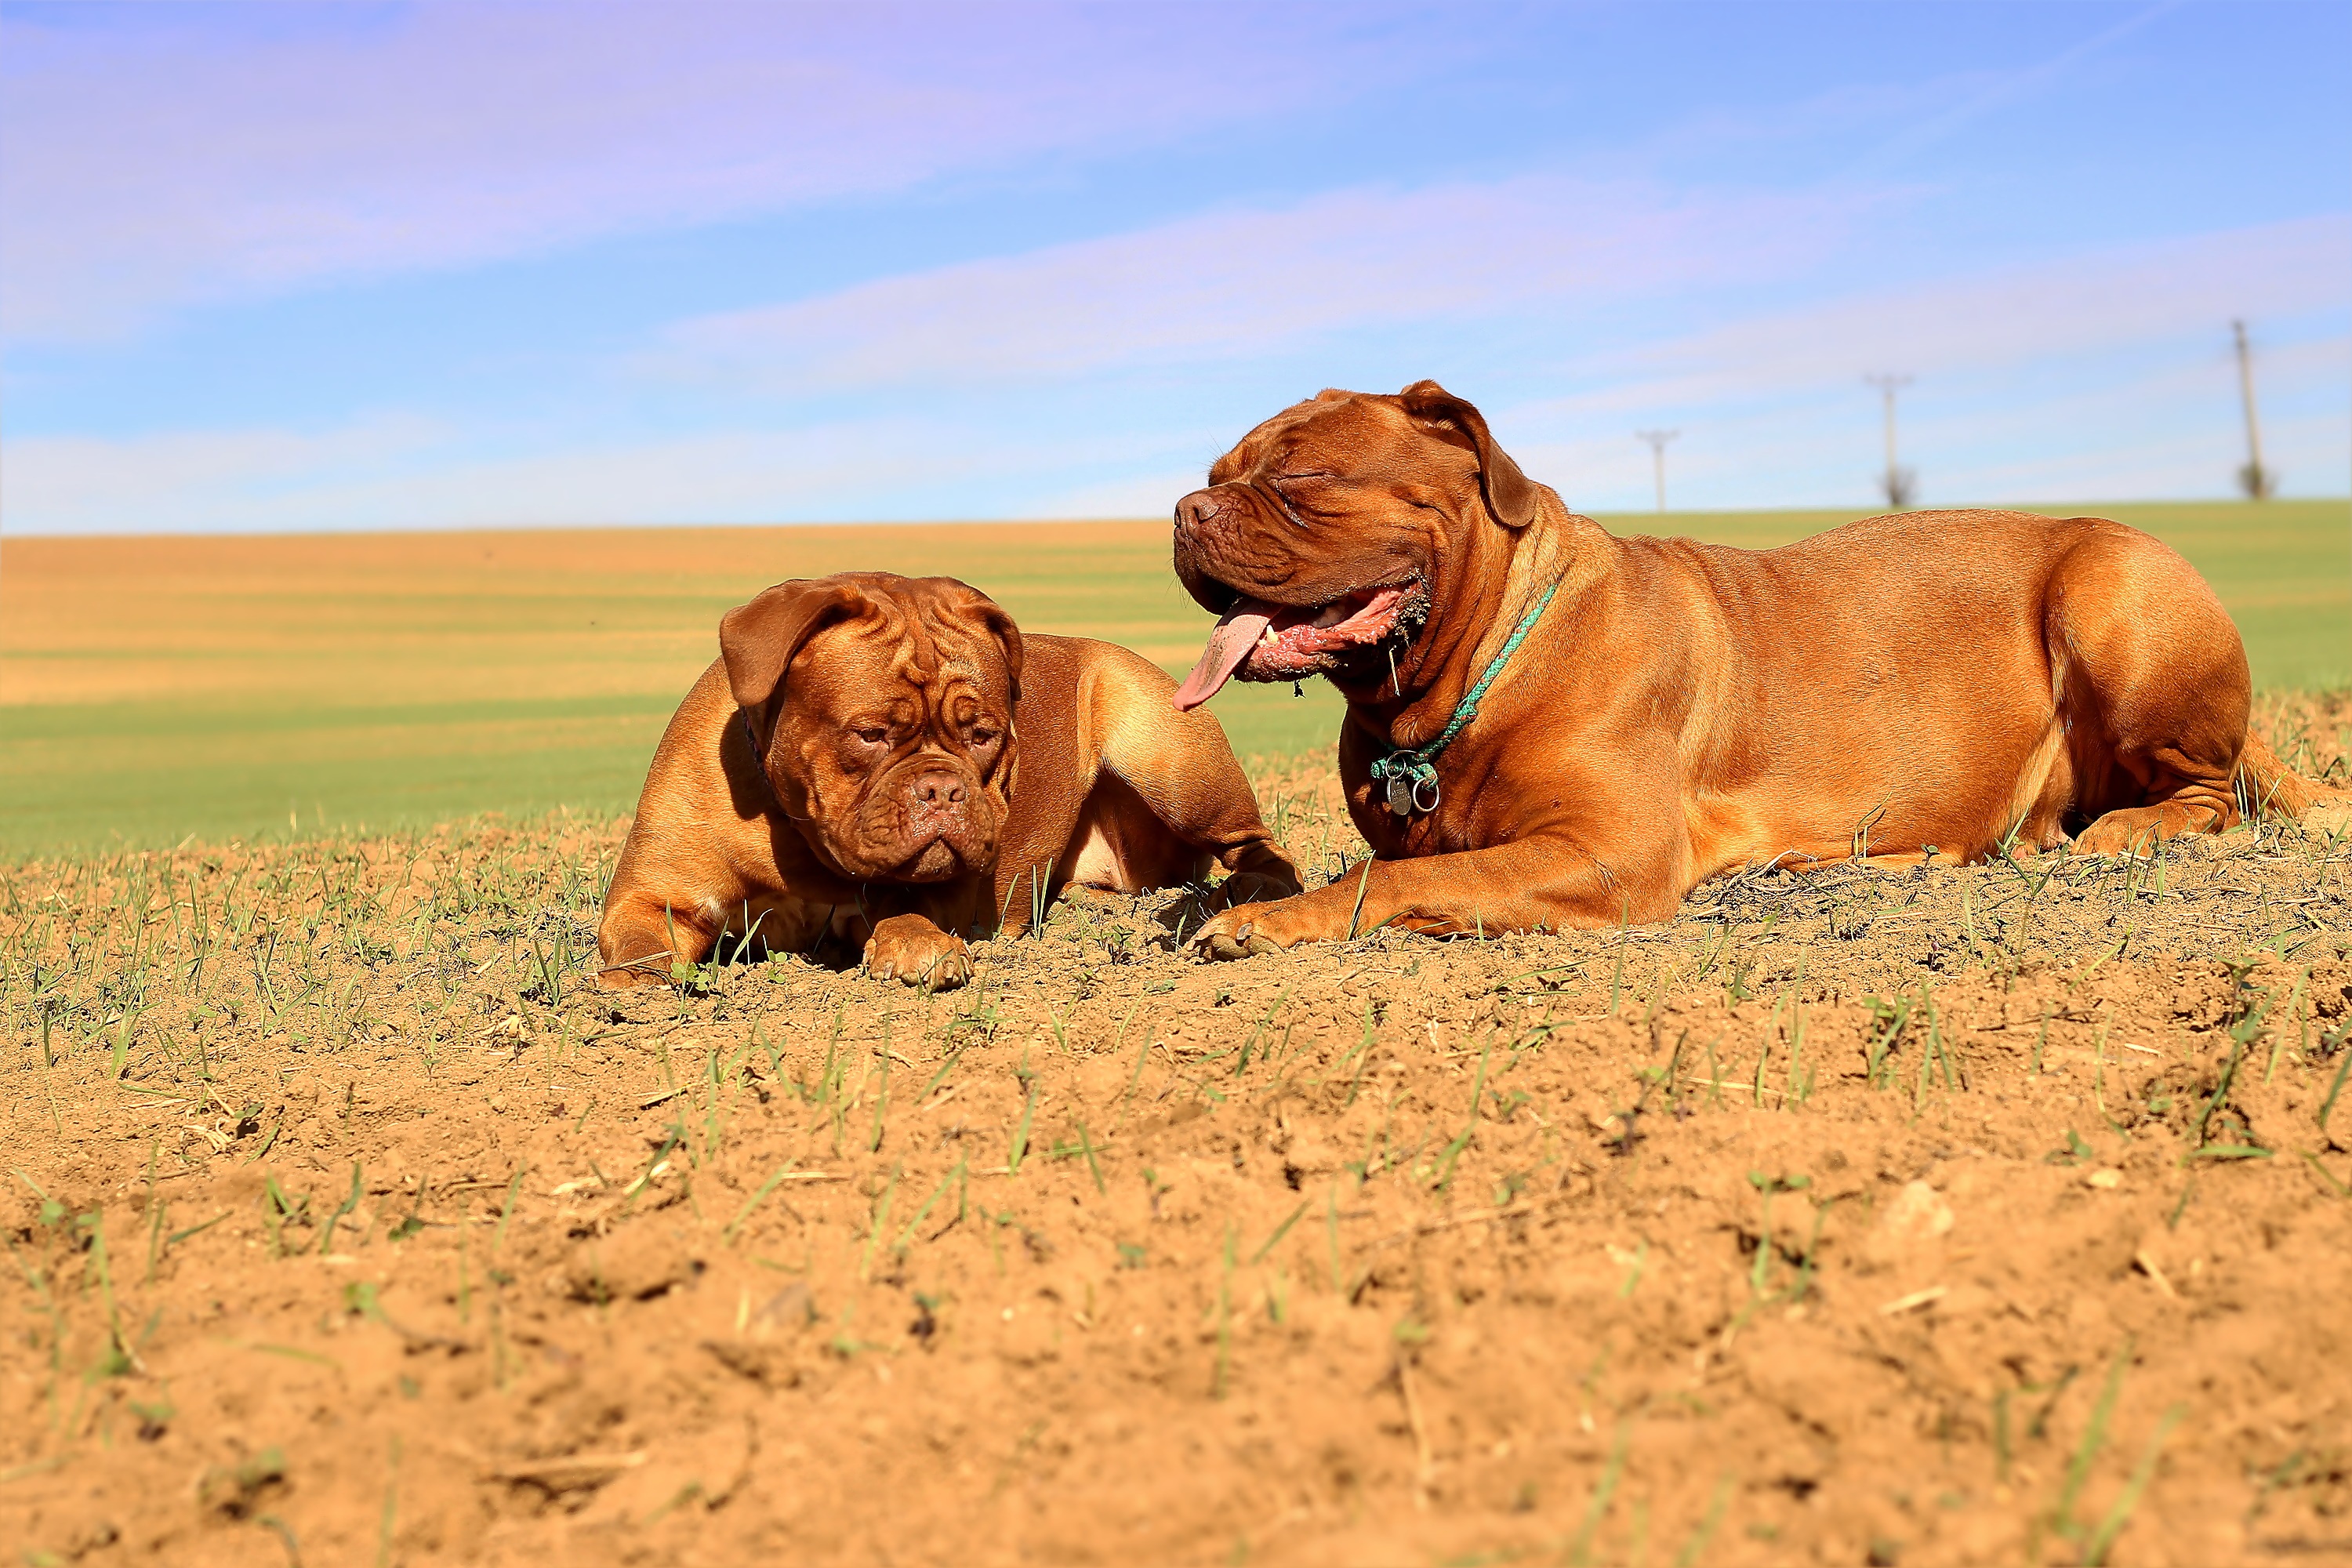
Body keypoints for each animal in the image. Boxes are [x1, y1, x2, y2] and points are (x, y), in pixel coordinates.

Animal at [597, 571, 1308, 987]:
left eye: (983, 734)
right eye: (870, 733)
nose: (942, 789)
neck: (797, 836)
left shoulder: (946, 890)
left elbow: (904, 905)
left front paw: (915, 947)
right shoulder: (649, 895)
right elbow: (638, 943)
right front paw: (641, 988)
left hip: (1170, 756)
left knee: (1258, 845)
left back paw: (1250, 897)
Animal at [1176, 380, 2333, 959]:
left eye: (1302, 476)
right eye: (1218, 471)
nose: (1185, 509)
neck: (1473, 666)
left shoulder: (1609, 855)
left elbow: (1403, 875)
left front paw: (1263, 921)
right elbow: (1376, 860)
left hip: (2115, 593)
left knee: (2209, 794)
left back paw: (2128, 833)